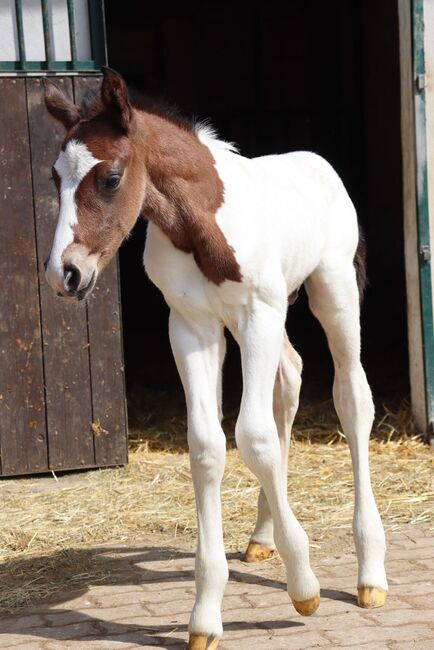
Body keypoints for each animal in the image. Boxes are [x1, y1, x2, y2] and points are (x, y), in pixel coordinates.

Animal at [44, 68, 388, 644]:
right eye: (54, 179)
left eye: (110, 178)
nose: (64, 275)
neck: (197, 221)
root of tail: (318, 165)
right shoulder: (191, 327)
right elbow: (207, 446)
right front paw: (205, 614)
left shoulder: (257, 314)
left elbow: (252, 437)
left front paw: (304, 584)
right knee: (290, 379)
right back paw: (263, 536)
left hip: (331, 291)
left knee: (351, 399)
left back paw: (370, 573)